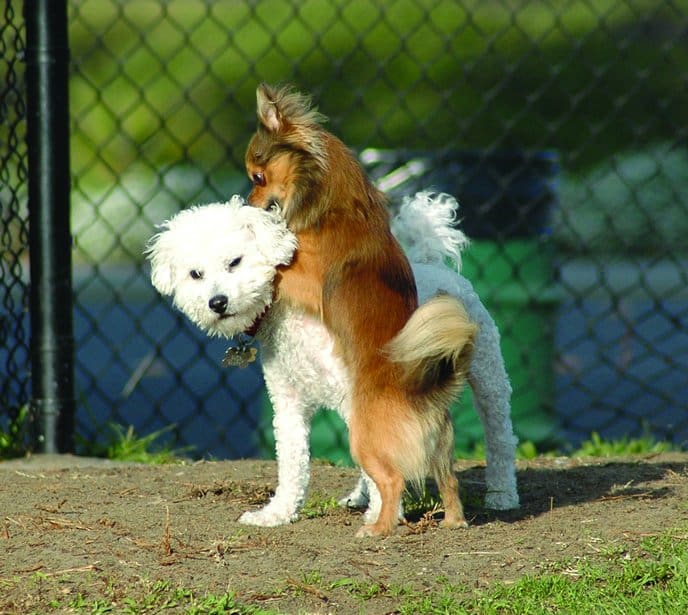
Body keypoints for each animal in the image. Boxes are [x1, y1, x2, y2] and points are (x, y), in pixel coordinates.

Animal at [146, 194, 520, 536]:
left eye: (234, 262)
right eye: (195, 274)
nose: (217, 302)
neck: (293, 314)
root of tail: (431, 264)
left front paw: (382, 515)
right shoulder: (288, 404)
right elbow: (292, 463)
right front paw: (278, 513)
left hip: (487, 374)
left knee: (500, 435)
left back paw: (502, 493)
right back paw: (360, 496)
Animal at [246, 84, 478, 536]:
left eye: (257, 178)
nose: (247, 202)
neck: (329, 199)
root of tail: (422, 390)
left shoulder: (305, 278)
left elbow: (281, 267)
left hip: (363, 440)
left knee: (392, 481)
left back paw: (378, 529)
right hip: (441, 449)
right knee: (449, 481)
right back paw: (453, 523)